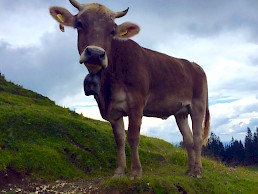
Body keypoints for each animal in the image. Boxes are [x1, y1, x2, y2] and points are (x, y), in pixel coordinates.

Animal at [50, 0, 210, 179]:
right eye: (79, 24)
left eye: (112, 30)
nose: (96, 54)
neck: (108, 86)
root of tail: (194, 65)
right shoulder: (113, 111)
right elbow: (119, 139)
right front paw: (119, 171)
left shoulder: (136, 104)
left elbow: (133, 137)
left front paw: (135, 172)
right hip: (180, 112)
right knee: (188, 139)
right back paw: (190, 170)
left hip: (198, 106)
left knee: (197, 138)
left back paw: (198, 171)